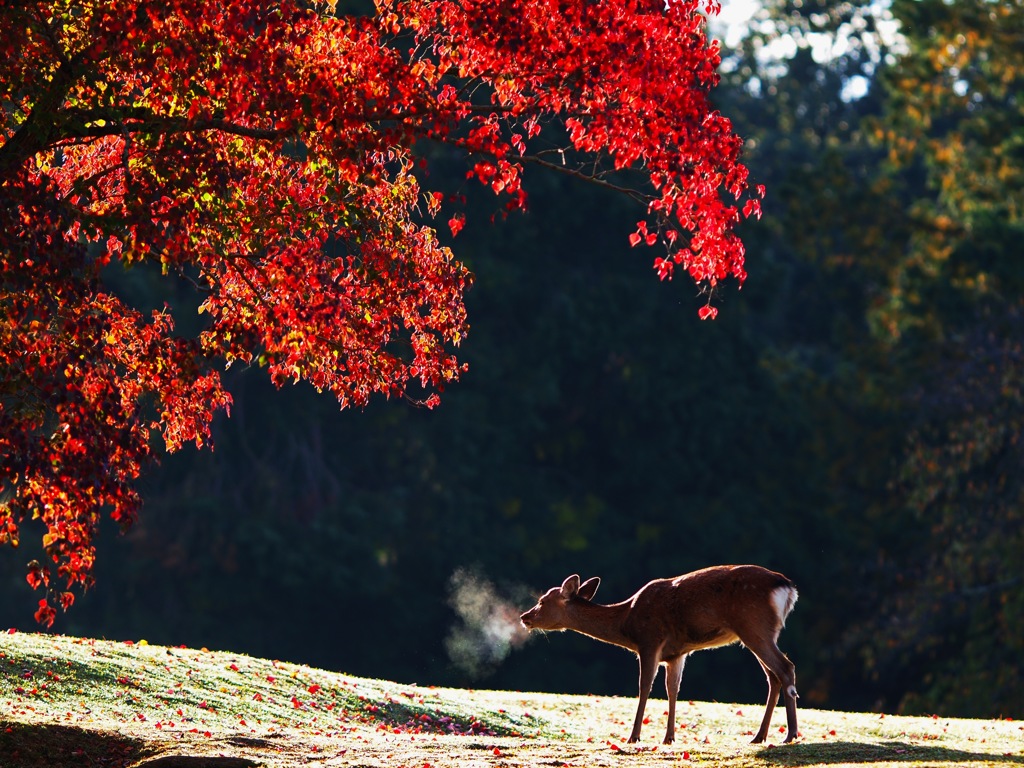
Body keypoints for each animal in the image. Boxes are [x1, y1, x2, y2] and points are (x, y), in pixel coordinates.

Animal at [520, 565, 798, 745]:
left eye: (542, 600)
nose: (525, 616)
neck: (626, 621)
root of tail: (788, 588)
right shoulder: (676, 653)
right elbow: (672, 689)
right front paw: (669, 737)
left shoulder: (649, 640)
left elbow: (644, 686)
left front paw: (633, 736)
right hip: (759, 632)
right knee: (773, 676)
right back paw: (760, 736)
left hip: (753, 625)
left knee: (785, 667)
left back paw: (790, 734)